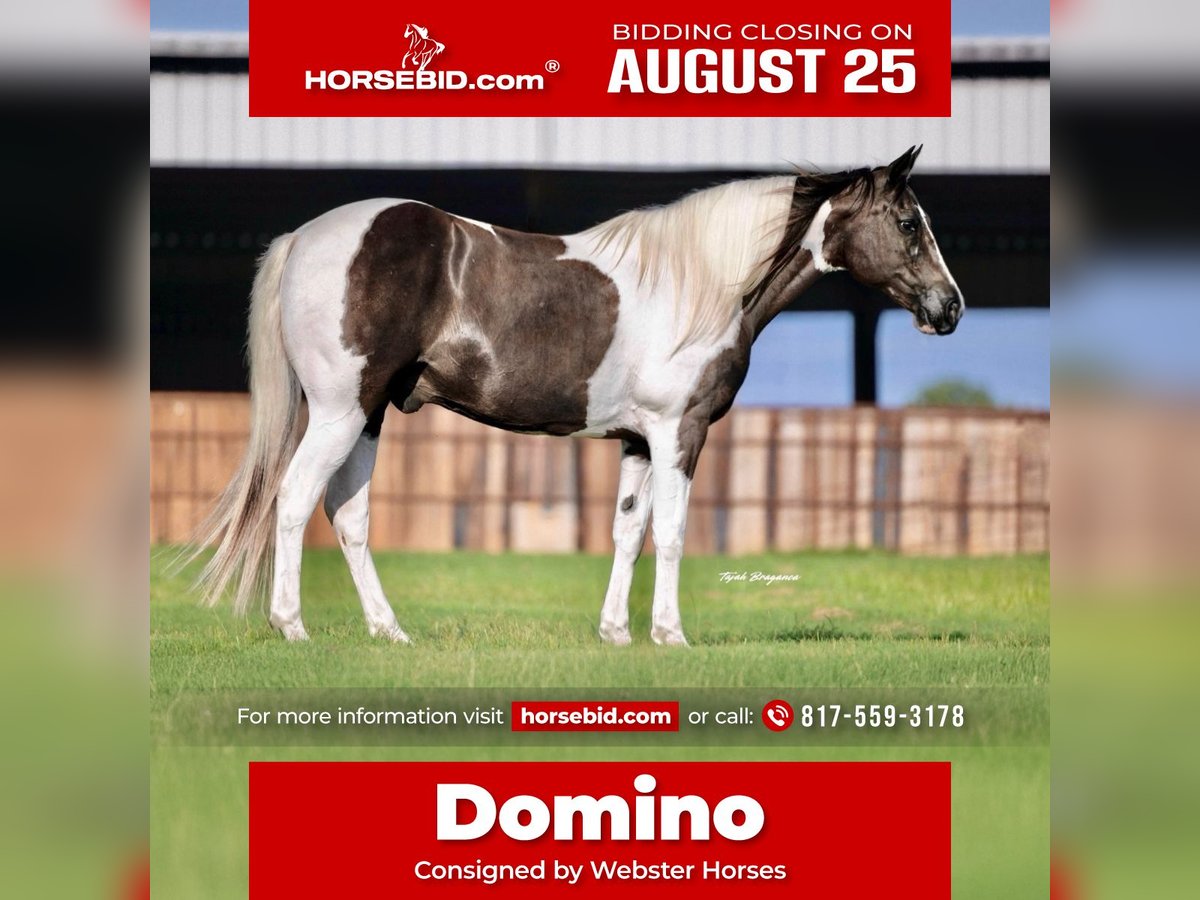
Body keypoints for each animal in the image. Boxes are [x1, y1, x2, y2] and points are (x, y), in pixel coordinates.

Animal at [190, 146, 963, 645]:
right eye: (908, 223)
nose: (949, 308)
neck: (702, 283)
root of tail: (305, 236)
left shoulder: (637, 440)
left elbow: (627, 532)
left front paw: (617, 633)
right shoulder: (680, 432)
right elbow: (671, 532)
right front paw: (671, 635)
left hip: (369, 414)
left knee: (347, 515)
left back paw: (390, 631)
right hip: (339, 411)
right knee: (295, 500)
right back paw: (292, 627)